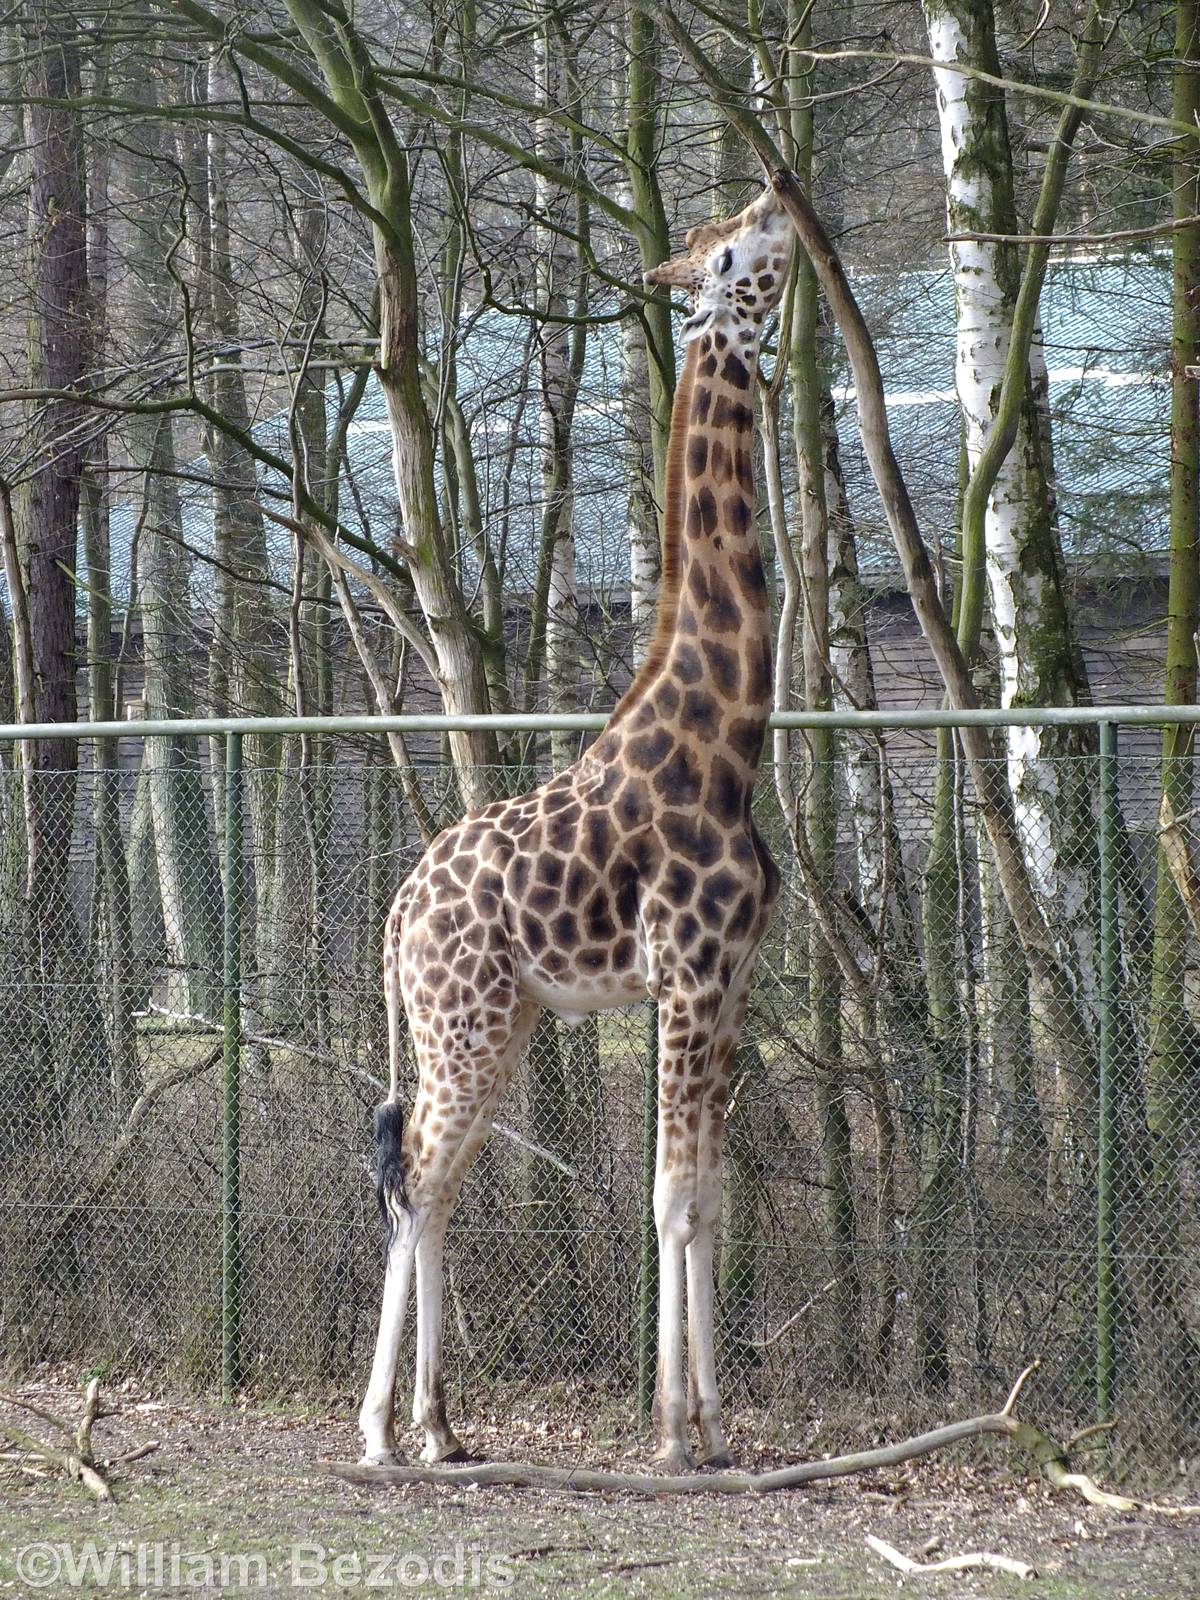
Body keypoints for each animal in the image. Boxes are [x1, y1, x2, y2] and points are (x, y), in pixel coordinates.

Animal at [359, 187, 795, 1474]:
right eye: (734, 249)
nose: (782, 199)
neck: (725, 739)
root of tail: (397, 909)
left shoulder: (730, 985)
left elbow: (709, 1198)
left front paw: (716, 1424)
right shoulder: (687, 980)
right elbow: (669, 1197)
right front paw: (671, 1434)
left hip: (492, 1024)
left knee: (437, 1180)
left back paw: (441, 1424)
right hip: (463, 1023)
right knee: (414, 1176)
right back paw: (380, 1429)